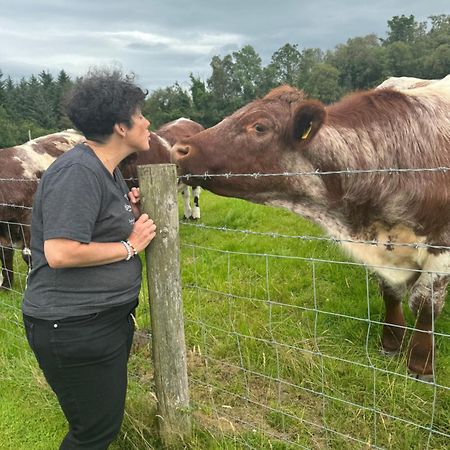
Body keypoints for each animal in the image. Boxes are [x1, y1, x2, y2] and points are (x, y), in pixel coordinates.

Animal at [174, 76, 450, 380]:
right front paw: (390, 342)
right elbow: (390, 292)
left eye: (259, 126)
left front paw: (421, 363)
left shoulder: (441, 249)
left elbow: (425, 306)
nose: (179, 149)